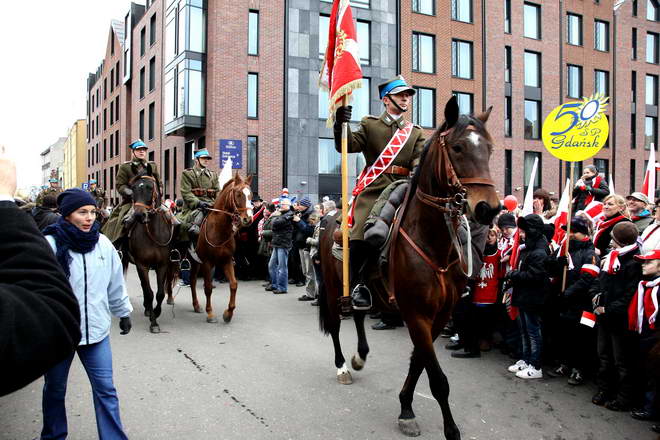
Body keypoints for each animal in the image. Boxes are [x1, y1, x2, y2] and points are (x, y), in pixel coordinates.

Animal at [170, 174, 253, 324]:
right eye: (238, 194)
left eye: (251, 194)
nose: (248, 219)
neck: (219, 229)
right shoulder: (207, 262)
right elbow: (208, 287)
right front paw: (210, 314)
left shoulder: (226, 261)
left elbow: (233, 284)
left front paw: (228, 313)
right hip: (172, 259)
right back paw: (168, 299)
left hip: (194, 261)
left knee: (192, 280)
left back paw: (196, 305)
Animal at [320, 97, 500, 440]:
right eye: (458, 148)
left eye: (490, 148)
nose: (489, 209)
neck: (432, 243)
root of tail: (330, 216)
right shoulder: (416, 314)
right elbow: (437, 379)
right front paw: (450, 429)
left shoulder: (439, 315)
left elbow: (419, 363)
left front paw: (405, 407)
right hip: (334, 285)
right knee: (335, 325)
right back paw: (342, 366)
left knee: (359, 313)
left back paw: (360, 356)